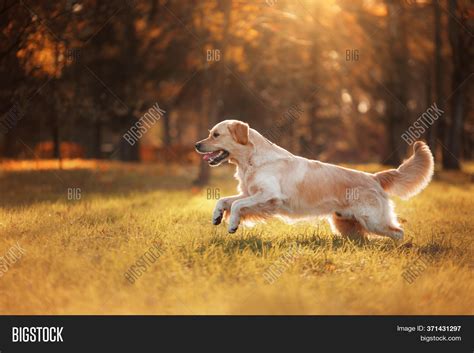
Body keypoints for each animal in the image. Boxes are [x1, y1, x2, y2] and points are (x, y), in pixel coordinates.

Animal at [193, 119, 434, 239]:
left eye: (215, 135)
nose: (196, 145)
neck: (250, 161)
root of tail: (374, 176)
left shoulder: (269, 195)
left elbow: (237, 205)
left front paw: (232, 224)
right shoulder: (249, 193)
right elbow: (224, 200)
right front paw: (217, 216)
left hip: (374, 220)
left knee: (399, 232)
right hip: (346, 224)